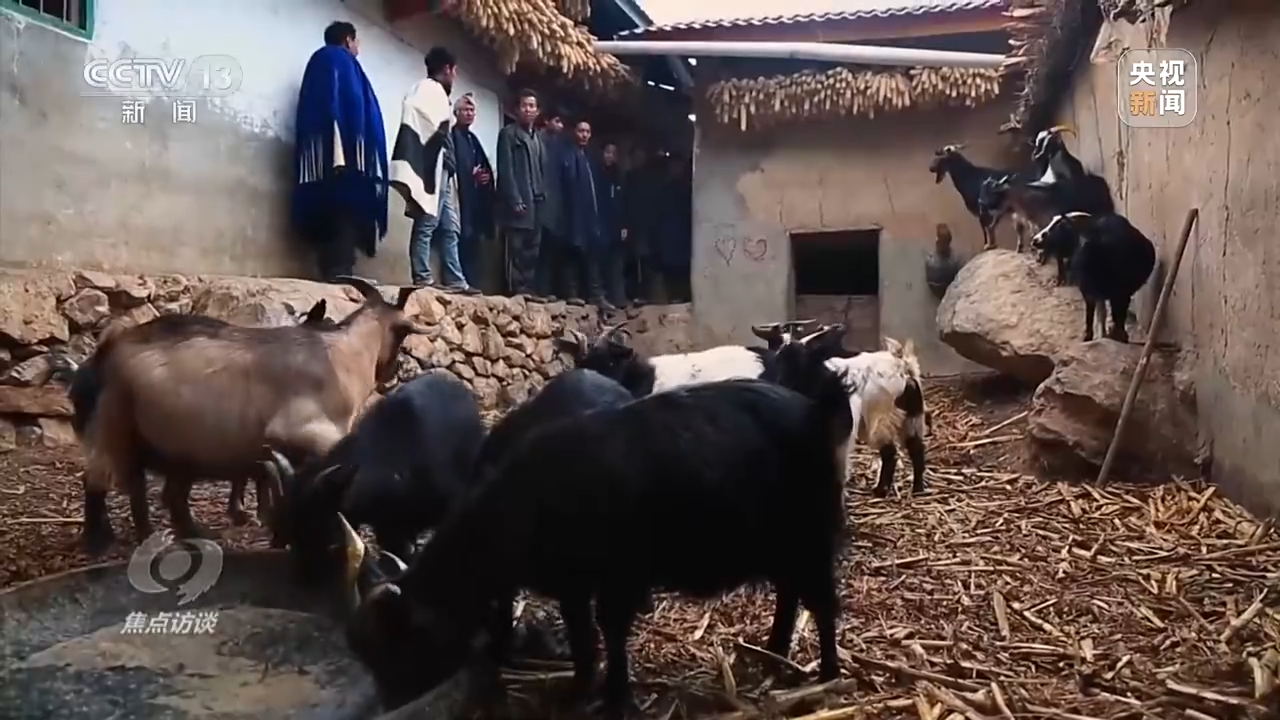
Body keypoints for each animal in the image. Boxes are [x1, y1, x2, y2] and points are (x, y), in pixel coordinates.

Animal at [65, 277, 427, 555]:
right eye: (402, 333)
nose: (390, 372)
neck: (343, 355)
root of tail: (107, 350)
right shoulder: (303, 432)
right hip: (114, 422)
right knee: (97, 479)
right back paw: (98, 541)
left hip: (171, 443)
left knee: (154, 490)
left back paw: (177, 535)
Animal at [341, 326, 854, 715]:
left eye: (400, 646)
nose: (392, 704)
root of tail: (814, 411)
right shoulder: (573, 584)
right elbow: (585, 637)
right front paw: (582, 688)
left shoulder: (617, 578)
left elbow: (609, 630)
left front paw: (614, 696)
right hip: (782, 544)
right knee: (790, 594)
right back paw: (774, 656)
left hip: (811, 535)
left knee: (822, 602)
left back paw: (827, 675)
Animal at [1048, 212, 1156, 343]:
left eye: (1062, 227)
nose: (1036, 241)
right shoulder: (1093, 292)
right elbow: (1097, 314)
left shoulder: (1115, 293)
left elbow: (1112, 314)